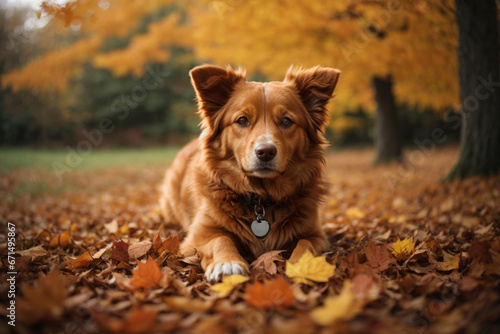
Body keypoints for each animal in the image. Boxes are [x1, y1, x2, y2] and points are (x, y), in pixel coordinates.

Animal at [160, 63, 340, 282]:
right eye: (242, 120)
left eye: (286, 121)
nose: (265, 152)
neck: (261, 199)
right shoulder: (195, 238)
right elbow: (221, 239)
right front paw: (227, 263)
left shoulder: (316, 235)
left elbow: (305, 244)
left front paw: (302, 265)